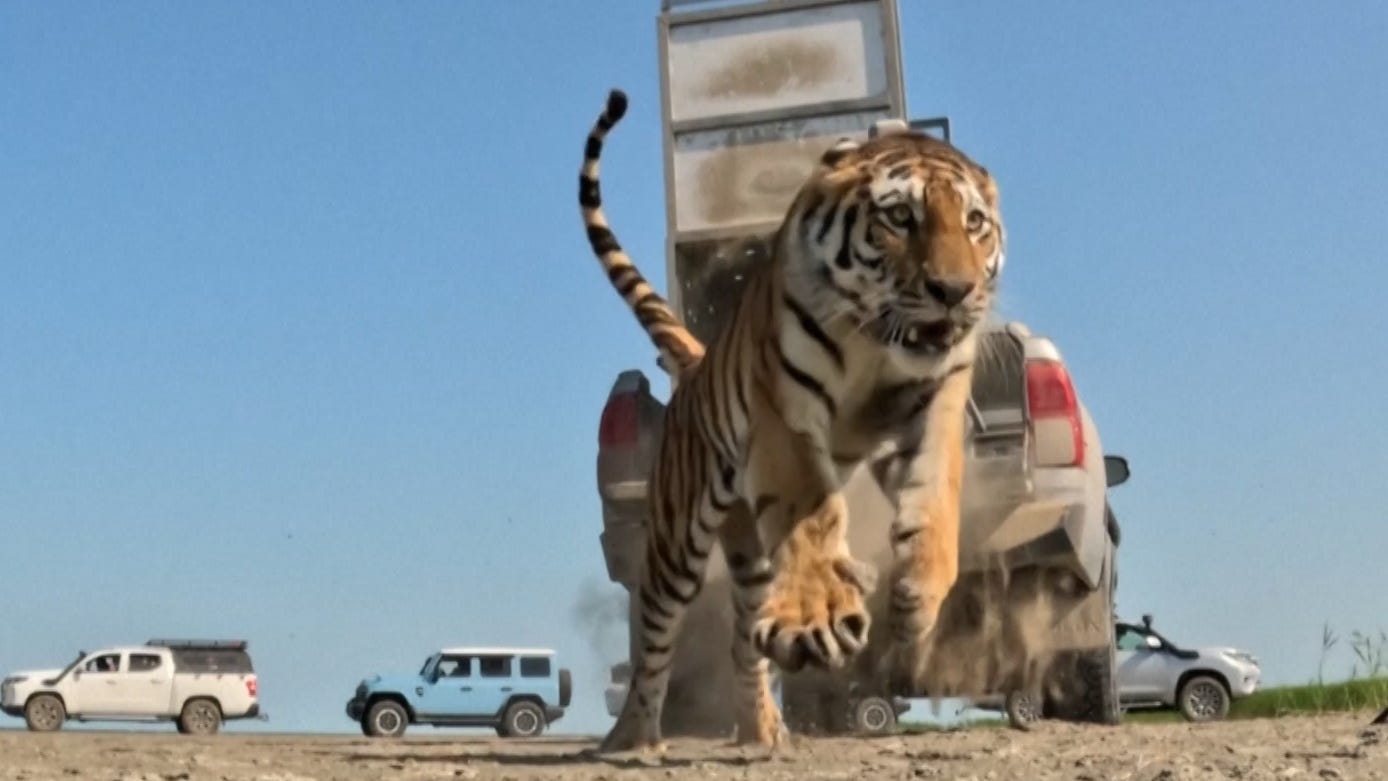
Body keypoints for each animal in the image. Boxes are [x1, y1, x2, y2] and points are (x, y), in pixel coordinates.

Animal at [578, 89, 1005, 752]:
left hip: (750, 559)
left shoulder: (935, 401)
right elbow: (812, 512)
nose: (954, 291)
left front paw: (917, 597)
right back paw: (631, 738)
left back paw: (762, 731)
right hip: (677, 541)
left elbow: (937, 497)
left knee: (743, 646)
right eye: (899, 217)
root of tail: (697, 360)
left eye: (975, 223)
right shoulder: (785, 412)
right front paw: (818, 616)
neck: (876, 341)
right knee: (653, 637)